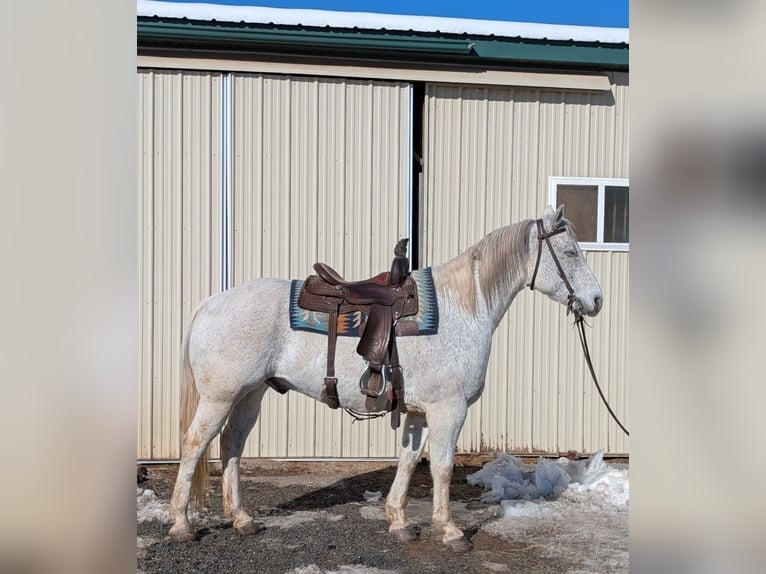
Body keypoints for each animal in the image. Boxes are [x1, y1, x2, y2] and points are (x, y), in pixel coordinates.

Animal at [168, 204, 603, 551]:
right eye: (569, 252)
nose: (596, 300)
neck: (463, 309)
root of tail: (210, 303)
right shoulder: (449, 409)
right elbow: (442, 467)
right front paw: (449, 531)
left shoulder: (419, 412)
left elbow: (409, 461)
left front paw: (399, 521)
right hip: (220, 397)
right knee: (194, 445)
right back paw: (181, 523)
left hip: (250, 394)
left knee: (232, 445)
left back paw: (242, 519)